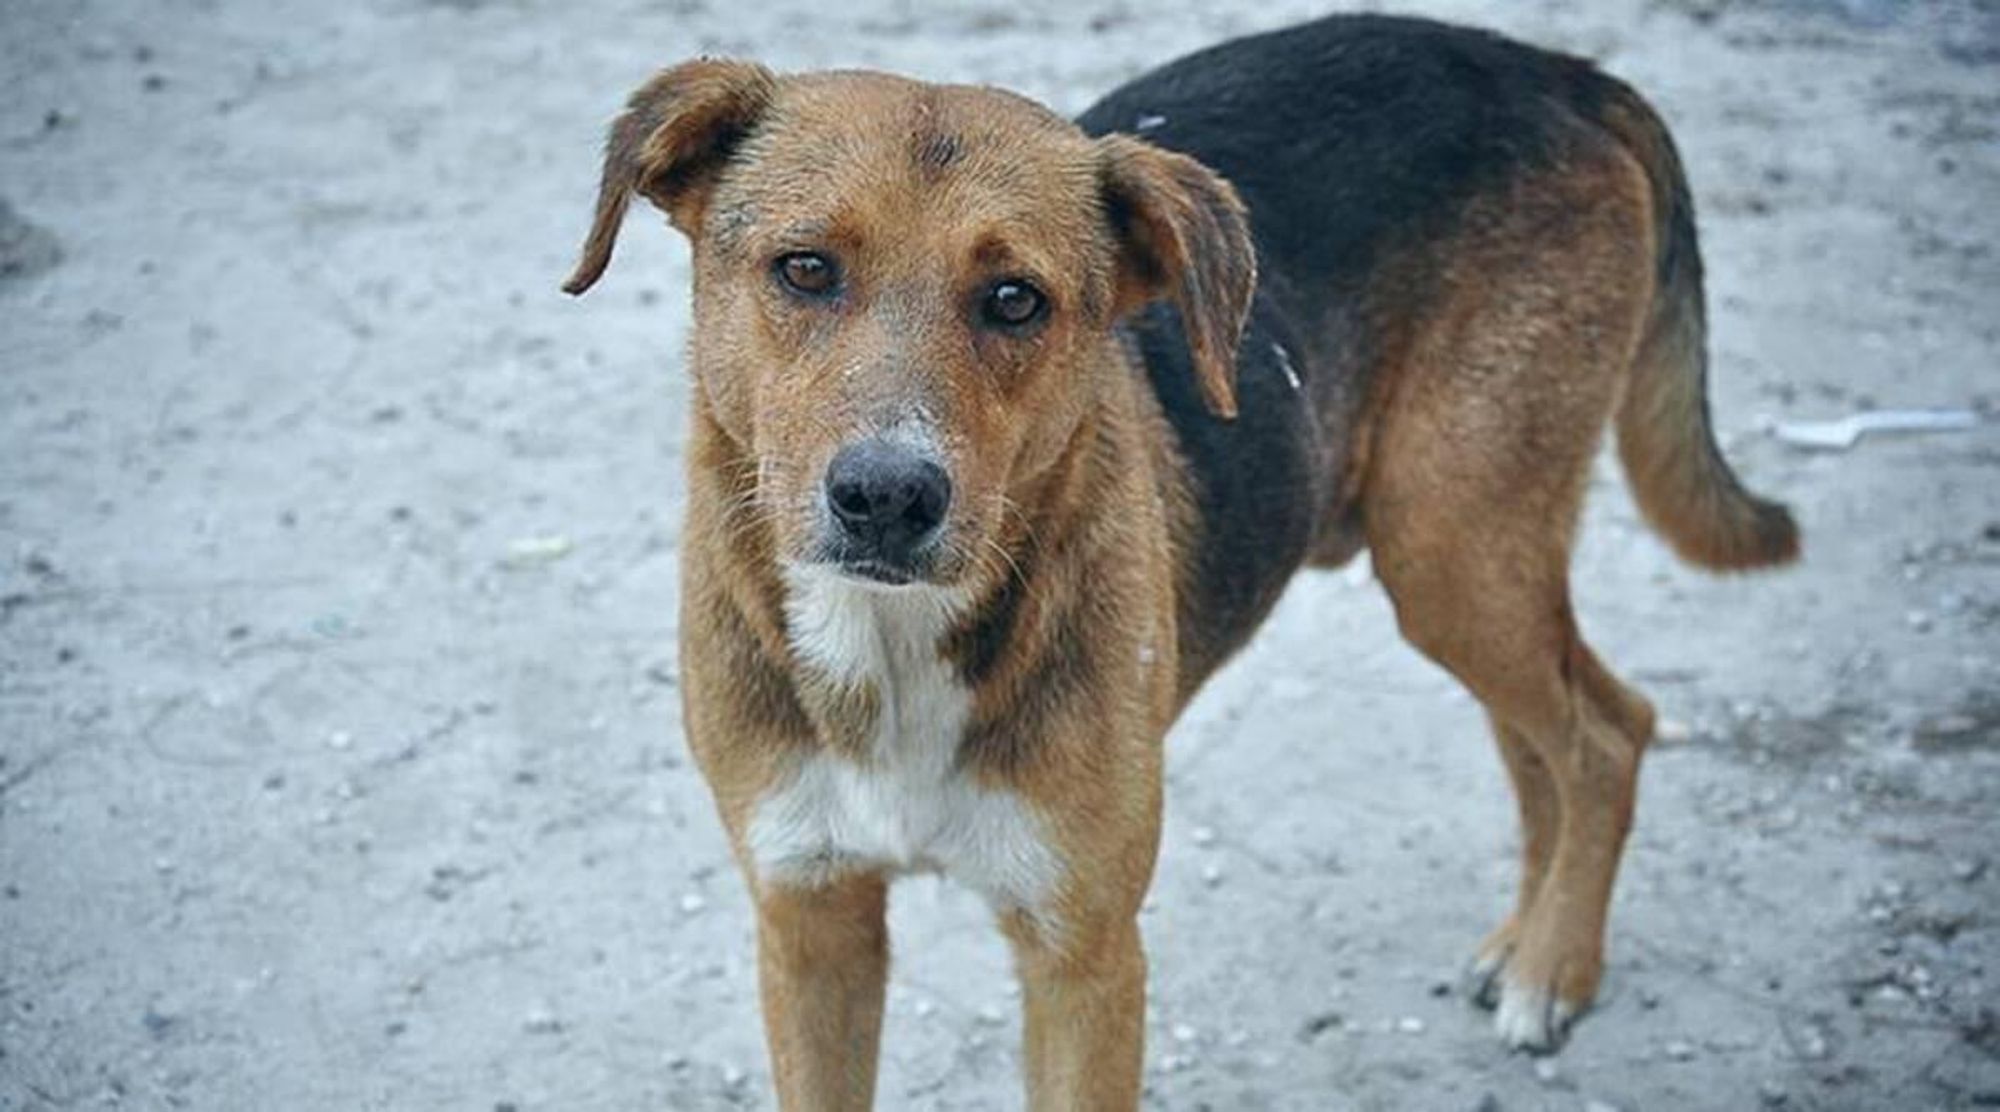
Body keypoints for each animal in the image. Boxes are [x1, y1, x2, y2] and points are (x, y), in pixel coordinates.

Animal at [560, 13, 1800, 1104]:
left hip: (1454, 545)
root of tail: (1550, 68)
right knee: (1549, 733)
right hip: (1463, 558)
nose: (885, 499)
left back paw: (1552, 966)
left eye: (1014, 299)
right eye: (806, 269)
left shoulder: (1084, 955)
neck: (891, 648)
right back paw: (1523, 938)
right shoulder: (809, 925)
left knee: (1606, 731)